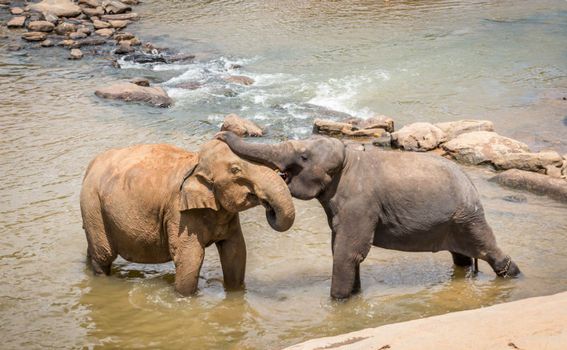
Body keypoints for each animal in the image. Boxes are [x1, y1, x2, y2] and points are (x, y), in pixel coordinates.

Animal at [81, 139, 298, 296]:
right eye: (236, 170)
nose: (268, 205)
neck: (196, 161)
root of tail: (90, 166)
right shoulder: (179, 214)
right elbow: (190, 258)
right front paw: (184, 300)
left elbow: (235, 251)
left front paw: (235, 293)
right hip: (93, 206)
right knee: (103, 255)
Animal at [219, 131, 524, 298]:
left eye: (303, 157)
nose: (220, 134)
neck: (347, 156)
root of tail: (472, 185)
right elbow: (341, 251)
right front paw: (354, 296)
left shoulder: (359, 204)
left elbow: (347, 253)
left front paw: (338, 302)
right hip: (454, 222)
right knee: (461, 258)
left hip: (467, 218)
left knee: (491, 251)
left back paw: (514, 276)